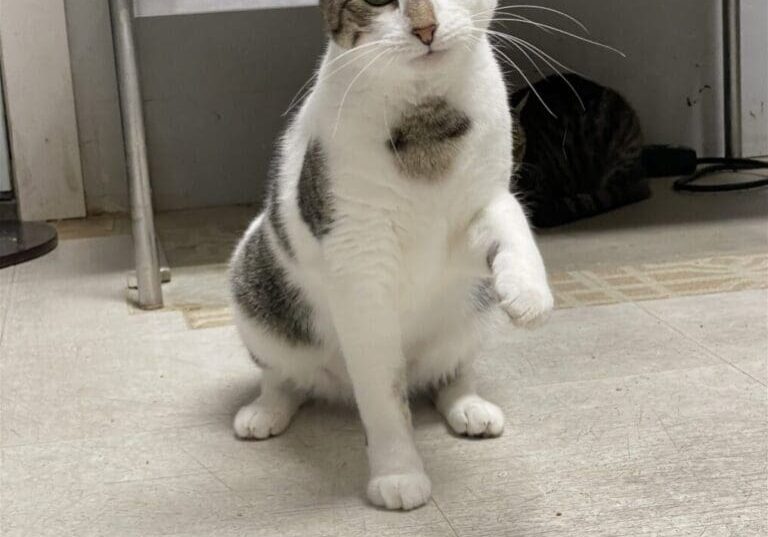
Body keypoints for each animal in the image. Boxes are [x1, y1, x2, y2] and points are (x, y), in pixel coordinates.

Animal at [228, 0, 552, 510]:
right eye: (378, 1)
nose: (426, 28)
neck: (426, 122)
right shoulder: (360, 264)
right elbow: (385, 396)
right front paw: (398, 473)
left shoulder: (471, 219)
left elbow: (508, 217)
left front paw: (529, 290)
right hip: (253, 280)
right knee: (283, 376)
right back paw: (266, 411)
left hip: (471, 315)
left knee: (451, 371)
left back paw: (468, 406)